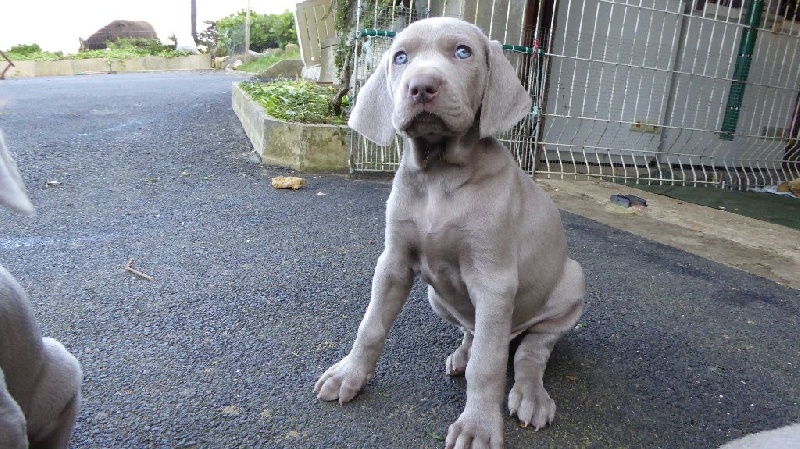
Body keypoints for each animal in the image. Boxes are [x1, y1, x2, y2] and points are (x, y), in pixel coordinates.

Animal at [316, 17, 584, 448]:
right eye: (400, 57)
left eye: (463, 52)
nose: (421, 86)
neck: (439, 174)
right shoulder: (392, 263)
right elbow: (370, 326)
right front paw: (348, 374)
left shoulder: (494, 281)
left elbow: (489, 366)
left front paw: (477, 427)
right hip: (436, 296)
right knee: (475, 333)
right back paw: (462, 354)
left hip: (572, 283)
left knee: (530, 350)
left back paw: (530, 394)